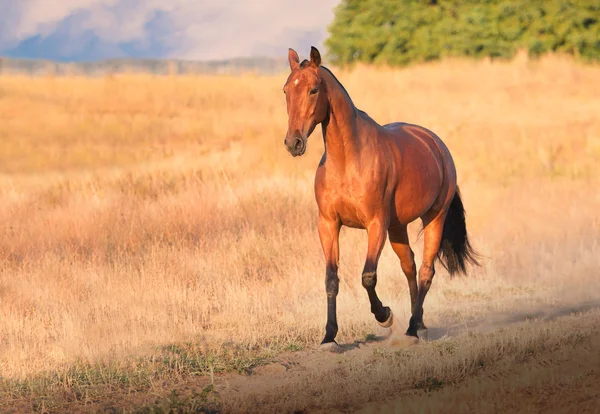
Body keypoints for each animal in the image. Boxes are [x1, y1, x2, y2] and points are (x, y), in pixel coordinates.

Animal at [284, 47, 480, 348]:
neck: (348, 160)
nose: (293, 143)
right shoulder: (328, 224)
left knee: (426, 271)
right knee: (410, 267)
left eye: (313, 90)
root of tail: (436, 144)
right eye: (286, 91)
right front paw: (329, 336)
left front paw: (384, 315)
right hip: (397, 227)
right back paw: (419, 324)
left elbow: (367, 276)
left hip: (434, 217)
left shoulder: (375, 225)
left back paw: (412, 330)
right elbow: (331, 278)